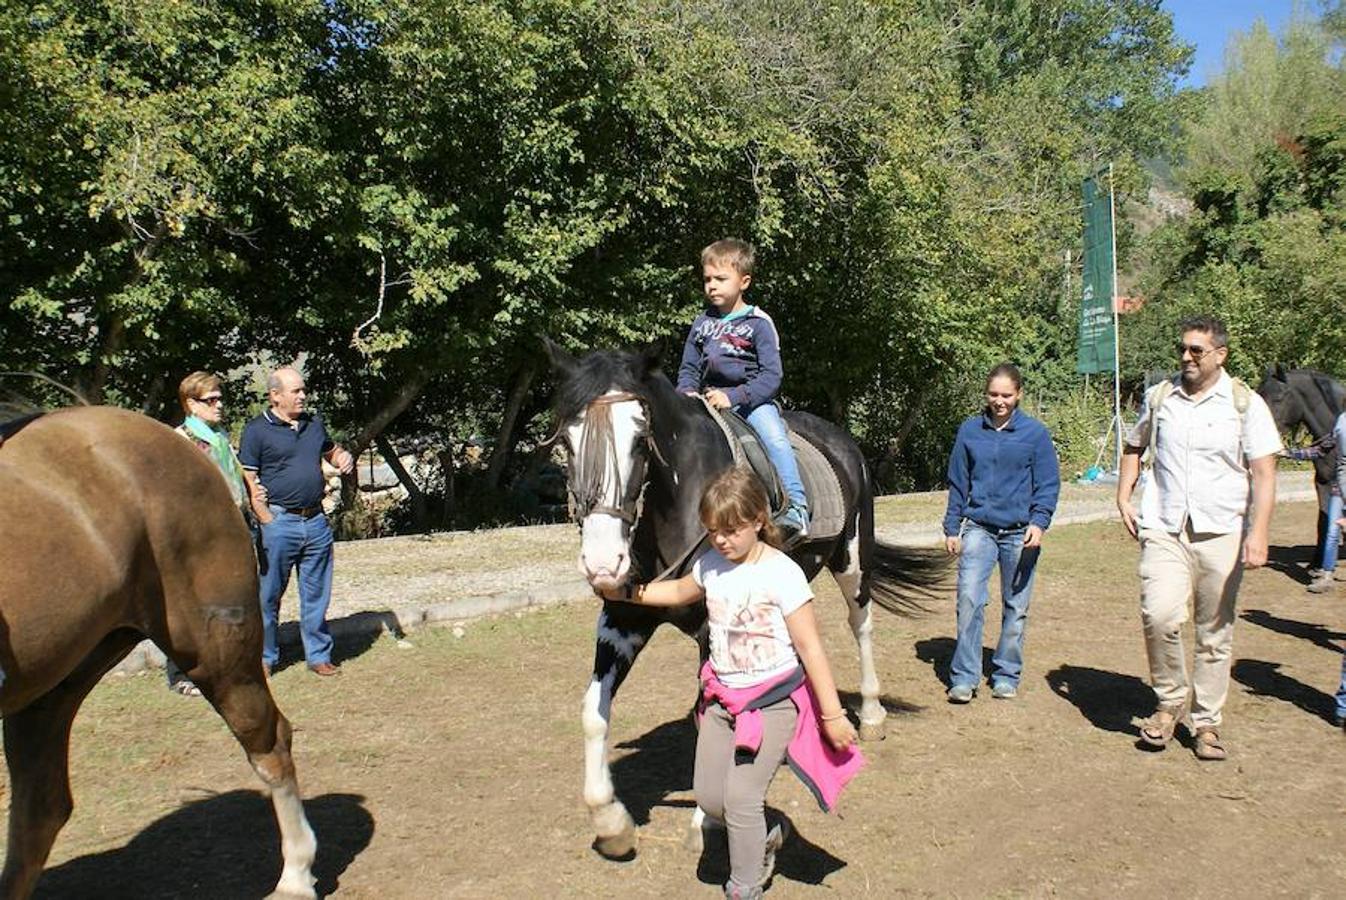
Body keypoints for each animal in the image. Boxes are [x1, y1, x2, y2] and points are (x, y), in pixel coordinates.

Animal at [541, 340, 942, 855]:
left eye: (640, 440)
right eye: (567, 443)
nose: (602, 562)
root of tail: (842, 441)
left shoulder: (711, 629)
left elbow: (707, 715)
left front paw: (706, 819)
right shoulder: (622, 619)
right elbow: (593, 710)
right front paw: (611, 822)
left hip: (853, 559)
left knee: (862, 625)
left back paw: (872, 715)